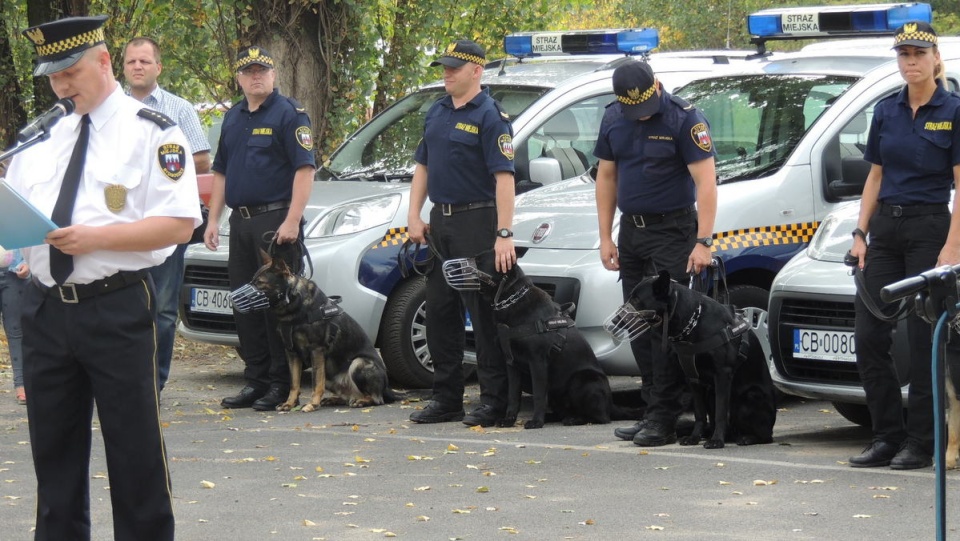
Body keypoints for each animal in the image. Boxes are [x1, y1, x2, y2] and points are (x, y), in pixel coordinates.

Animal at [231, 251, 396, 412]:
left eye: (260, 283)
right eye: (252, 281)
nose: (233, 298)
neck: (295, 306)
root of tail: (387, 389)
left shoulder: (316, 351)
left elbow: (316, 382)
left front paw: (312, 404)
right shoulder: (292, 353)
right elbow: (294, 383)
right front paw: (290, 403)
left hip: (358, 363)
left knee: (376, 399)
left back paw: (361, 401)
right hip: (331, 375)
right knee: (347, 396)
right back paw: (335, 399)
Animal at [444, 254, 640, 430]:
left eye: (478, 260)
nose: (450, 266)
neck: (512, 299)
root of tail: (611, 404)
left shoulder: (537, 362)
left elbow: (538, 395)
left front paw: (536, 422)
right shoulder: (512, 365)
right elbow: (513, 396)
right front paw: (509, 420)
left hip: (582, 380)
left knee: (601, 417)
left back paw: (574, 419)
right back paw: (555, 417)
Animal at [612, 270, 776, 448]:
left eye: (636, 300)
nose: (615, 320)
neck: (694, 321)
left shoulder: (722, 375)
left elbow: (720, 413)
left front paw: (717, 440)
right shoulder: (692, 378)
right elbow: (699, 414)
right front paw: (694, 437)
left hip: (750, 397)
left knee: (765, 435)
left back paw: (746, 438)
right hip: (711, 394)